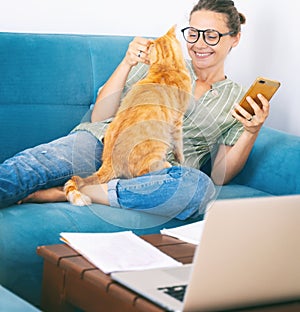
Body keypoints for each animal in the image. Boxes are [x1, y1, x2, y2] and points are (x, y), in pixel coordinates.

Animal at [66, 25, 192, 206]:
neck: (167, 67)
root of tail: (109, 162)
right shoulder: (178, 120)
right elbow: (179, 145)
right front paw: (180, 159)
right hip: (156, 148)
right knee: (143, 173)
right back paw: (166, 165)